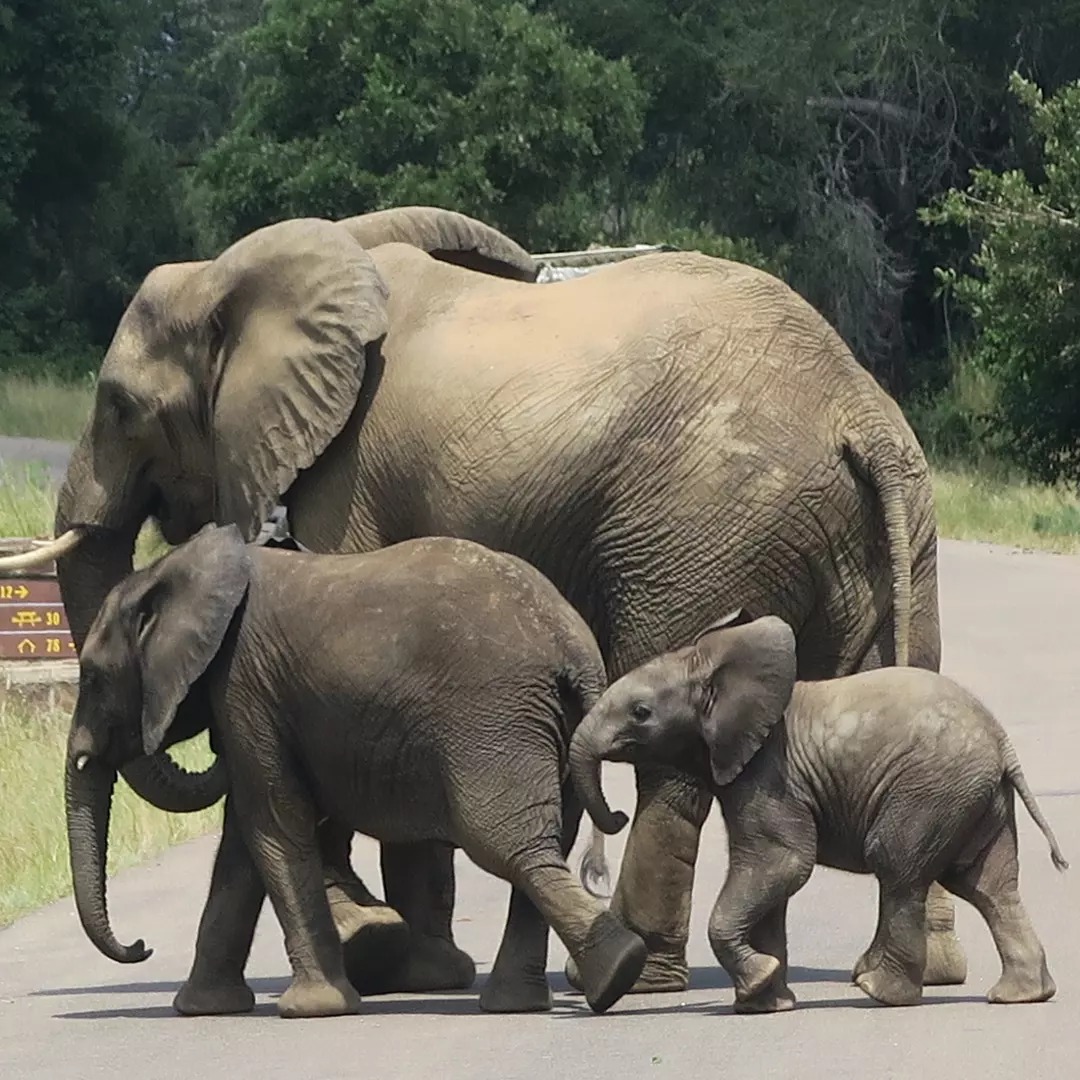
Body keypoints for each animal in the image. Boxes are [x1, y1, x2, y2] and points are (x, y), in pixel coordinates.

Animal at [63, 527, 643, 1015]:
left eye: (91, 677)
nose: (140, 945)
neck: (179, 571)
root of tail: (574, 650)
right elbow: (244, 840)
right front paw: (203, 1009)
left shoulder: (244, 686)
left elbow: (272, 823)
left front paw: (310, 1009)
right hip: (550, 727)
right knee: (544, 844)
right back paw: (552, 993)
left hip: (494, 718)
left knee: (507, 844)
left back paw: (615, 970)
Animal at [570, 613, 1067, 1015]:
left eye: (640, 712)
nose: (616, 815)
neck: (714, 667)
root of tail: (1001, 741)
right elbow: (769, 878)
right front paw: (765, 1002)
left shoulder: (770, 774)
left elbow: (782, 862)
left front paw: (759, 980)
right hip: (974, 794)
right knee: (986, 885)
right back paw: (1021, 995)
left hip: (934, 788)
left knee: (896, 865)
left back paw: (879, 991)